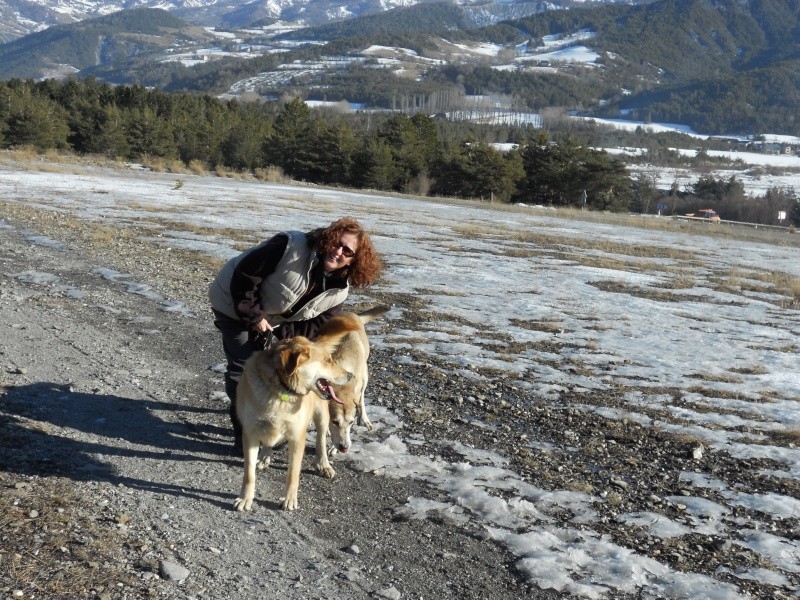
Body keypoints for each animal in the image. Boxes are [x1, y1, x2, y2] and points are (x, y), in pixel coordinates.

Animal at [234, 336, 354, 508]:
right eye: (327, 360)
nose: (350, 375)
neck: (280, 389)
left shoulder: (297, 437)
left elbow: (293, 474)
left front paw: (290, 499)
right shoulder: (250, 434)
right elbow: (249, 474)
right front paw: (245, 498)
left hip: (322, 416)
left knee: (321, 441)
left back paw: (323, 464)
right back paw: (264, 457)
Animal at [314, 308, 390, 452]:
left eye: (351, 422)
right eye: (335, 422)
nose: (344, 447)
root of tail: (350, 313)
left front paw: (333, 448)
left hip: (365, 377)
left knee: (361, 398)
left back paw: (364, 418)